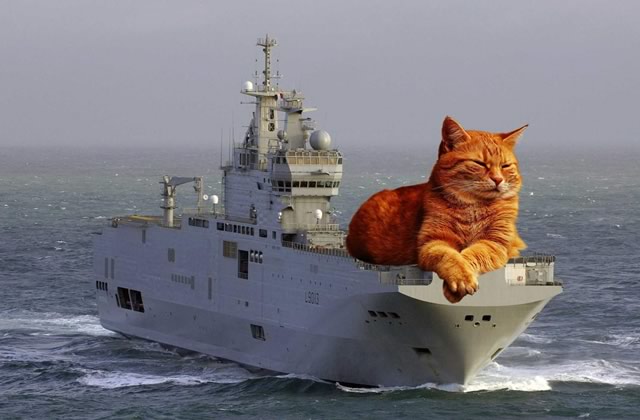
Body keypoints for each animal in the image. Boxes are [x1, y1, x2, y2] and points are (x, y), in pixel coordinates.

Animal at [346, 116, 527, 303]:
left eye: (505, 166)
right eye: (479, 163)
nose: (498, 179)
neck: (473, 207)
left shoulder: (495, 243)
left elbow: (473, 254)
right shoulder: (433, 242)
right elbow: (452, 257)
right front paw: (461, 278)